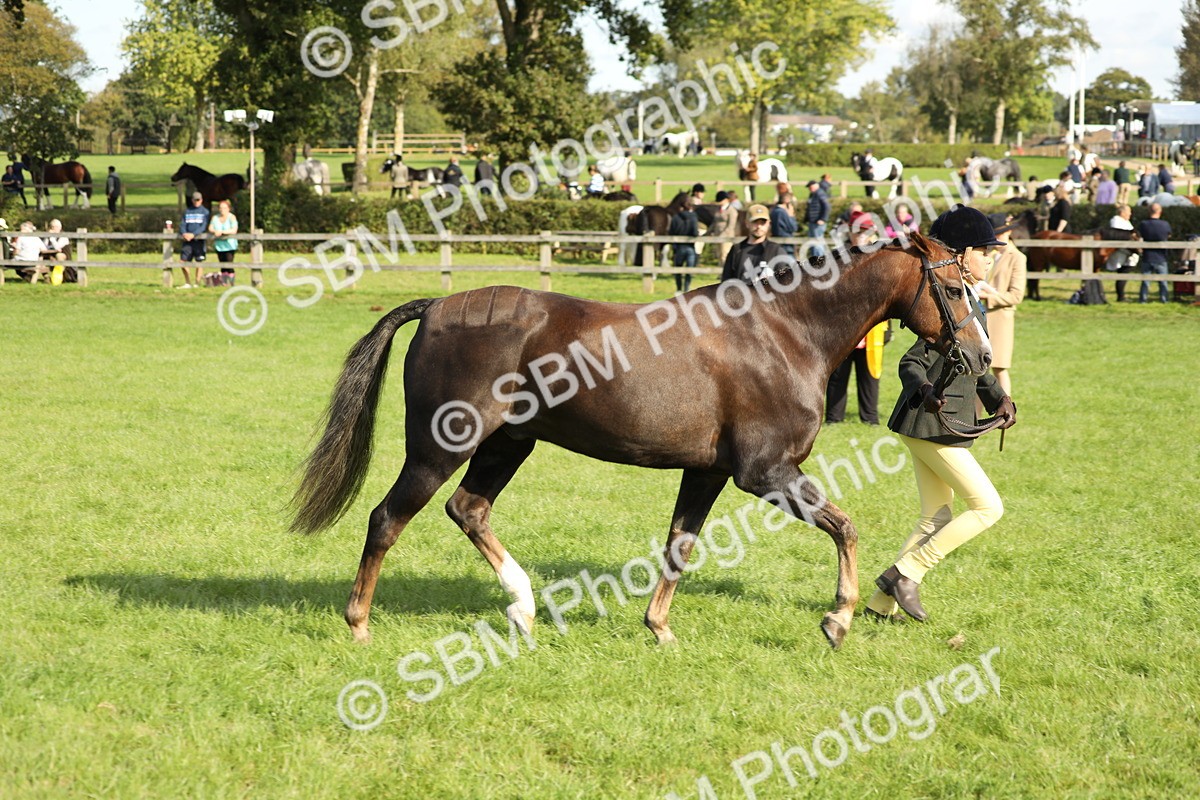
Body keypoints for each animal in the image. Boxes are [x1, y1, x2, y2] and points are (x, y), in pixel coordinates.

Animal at [290, 233, 993, 651]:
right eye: (954, 288)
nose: (983, 359)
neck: (783, 332)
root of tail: (437, 307)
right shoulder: (765, 473)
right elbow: (845, 527)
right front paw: (838, 618)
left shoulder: (708, 473)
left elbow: (680, 545)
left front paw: (659, 628)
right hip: (441, 449)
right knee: (387, 518)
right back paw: (359, 624)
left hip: (507, 445)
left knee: (468, 510)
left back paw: (523, 608)